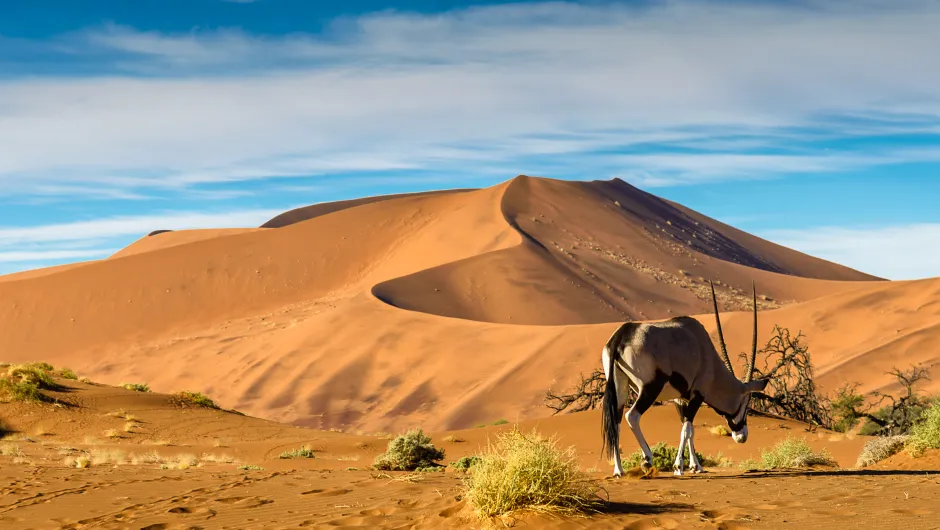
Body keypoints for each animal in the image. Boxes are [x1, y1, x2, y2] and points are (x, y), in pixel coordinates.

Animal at [604, 280, 772, 474]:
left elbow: (689, 428)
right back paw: (647, 459)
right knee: (632, 416)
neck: (707, 354)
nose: (742, 436)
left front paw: (695, 466)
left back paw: (619, 470)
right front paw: (679, 466)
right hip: (650, 388)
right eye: (746, 404)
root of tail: (620, 337)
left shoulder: (680, 398)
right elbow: (687, 429)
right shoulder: (697, 396)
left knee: (615, 422)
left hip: (620, 388)